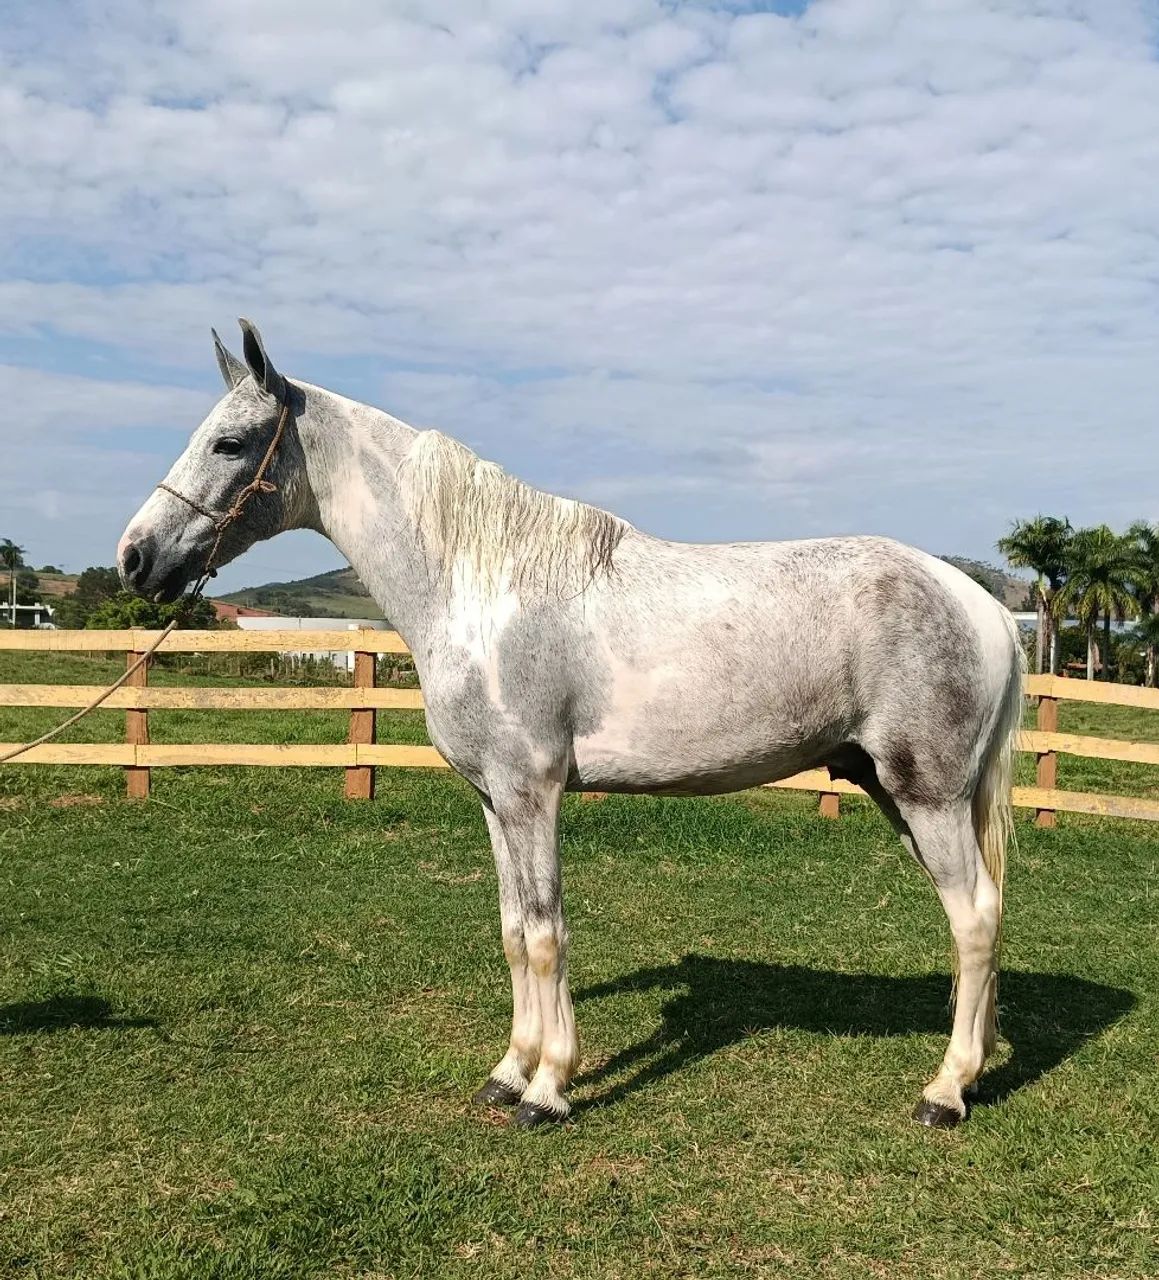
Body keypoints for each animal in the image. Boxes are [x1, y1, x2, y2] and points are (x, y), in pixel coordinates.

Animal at [118, 319, 1025, 1130]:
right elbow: (515, 931)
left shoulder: (532, 793)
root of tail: (983, 607)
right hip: (893, 793)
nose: (135, 557)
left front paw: (549, 1088)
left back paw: (944, 1091)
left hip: (928, 797)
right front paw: (507, 1072)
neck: (481, 585)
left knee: (974, 917)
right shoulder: (493, 801)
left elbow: (549, 933)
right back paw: (973, 1071)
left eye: (230, 444)